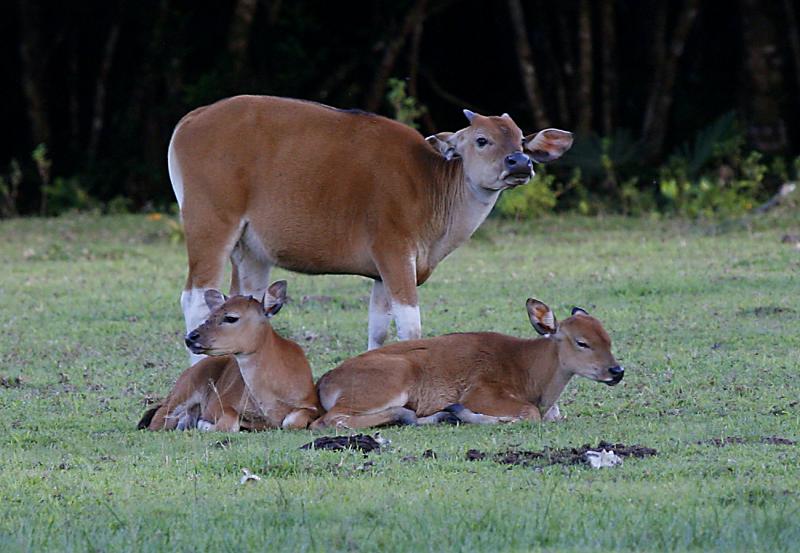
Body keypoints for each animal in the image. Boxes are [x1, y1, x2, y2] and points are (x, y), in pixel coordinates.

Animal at [139, 280, 320, 432]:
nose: (190, 338)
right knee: (159, 419)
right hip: (182, 393)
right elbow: (230, 421)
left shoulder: (311, 406)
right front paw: (204, 424)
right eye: (210, 315)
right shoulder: (219, 404)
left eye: (231, 317)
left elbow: (292, 421)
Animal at [310, 298, 620, 432]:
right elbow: (529, 413)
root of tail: (324, 382)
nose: (617, 371)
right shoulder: (480, 391)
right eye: (582, 342)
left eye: (608, 338)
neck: (528, 371)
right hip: (392, 377)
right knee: (328, 420)